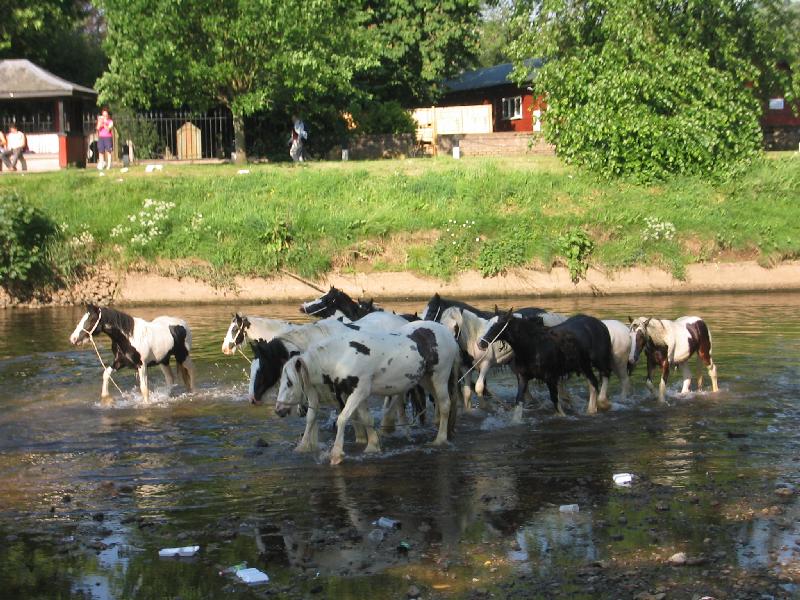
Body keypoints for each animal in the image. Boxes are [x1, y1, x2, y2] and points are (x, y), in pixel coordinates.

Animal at [276, 322, 460, 466]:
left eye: (289, 383)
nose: (278, 410)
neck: (342, 356)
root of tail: (448, 334)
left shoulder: (359, 391)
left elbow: (342, 418)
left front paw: (336, 454)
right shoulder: (358, 394)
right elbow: (366, 419)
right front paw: (372, 446)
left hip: (440, 377)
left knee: (445, 405)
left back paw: (440, 439)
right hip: (426, 379)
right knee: (440, 403)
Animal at [478, 312, 616, 414]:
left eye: (497, 325)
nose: (481, 344)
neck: (534, 346)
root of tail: (599, 323)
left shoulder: (550, 377)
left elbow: (555, 401)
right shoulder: (523, 377)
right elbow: (518, 400)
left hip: (599, 361)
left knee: (605, 374)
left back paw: (602, 403)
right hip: (584, 365)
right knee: (593, 383)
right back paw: (592, 409)